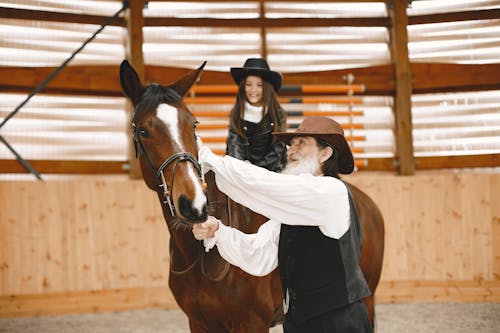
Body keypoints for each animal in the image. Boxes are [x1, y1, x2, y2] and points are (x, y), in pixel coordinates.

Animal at [119, 60, 384, 332]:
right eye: (143, 130)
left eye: (193, 125)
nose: (194, 205)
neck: (201, 257)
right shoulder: (199, 323)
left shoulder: (252, 322)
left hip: (368, 300)